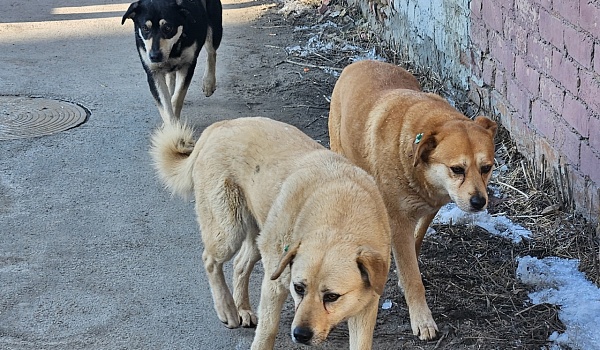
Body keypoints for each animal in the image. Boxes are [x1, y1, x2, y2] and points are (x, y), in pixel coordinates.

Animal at [150, 117, 392, 350]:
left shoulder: (367, 304)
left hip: (258, 237)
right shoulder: (274, 285)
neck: (340, 214)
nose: (300, 335)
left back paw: (242, 308)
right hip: (229, 234)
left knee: (239, 264)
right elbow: (266, 333)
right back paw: (227, 309)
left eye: (332, 296)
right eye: (299, 288)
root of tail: (220, 125)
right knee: (210, 260)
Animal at [328, 59, 496, 340]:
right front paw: (422, 318)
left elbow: (416, 243)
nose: (478, 202)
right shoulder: (398, 220)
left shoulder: (429, 209)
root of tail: (361, 62)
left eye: (486, 168)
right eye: (457, 169)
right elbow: (413, 278)